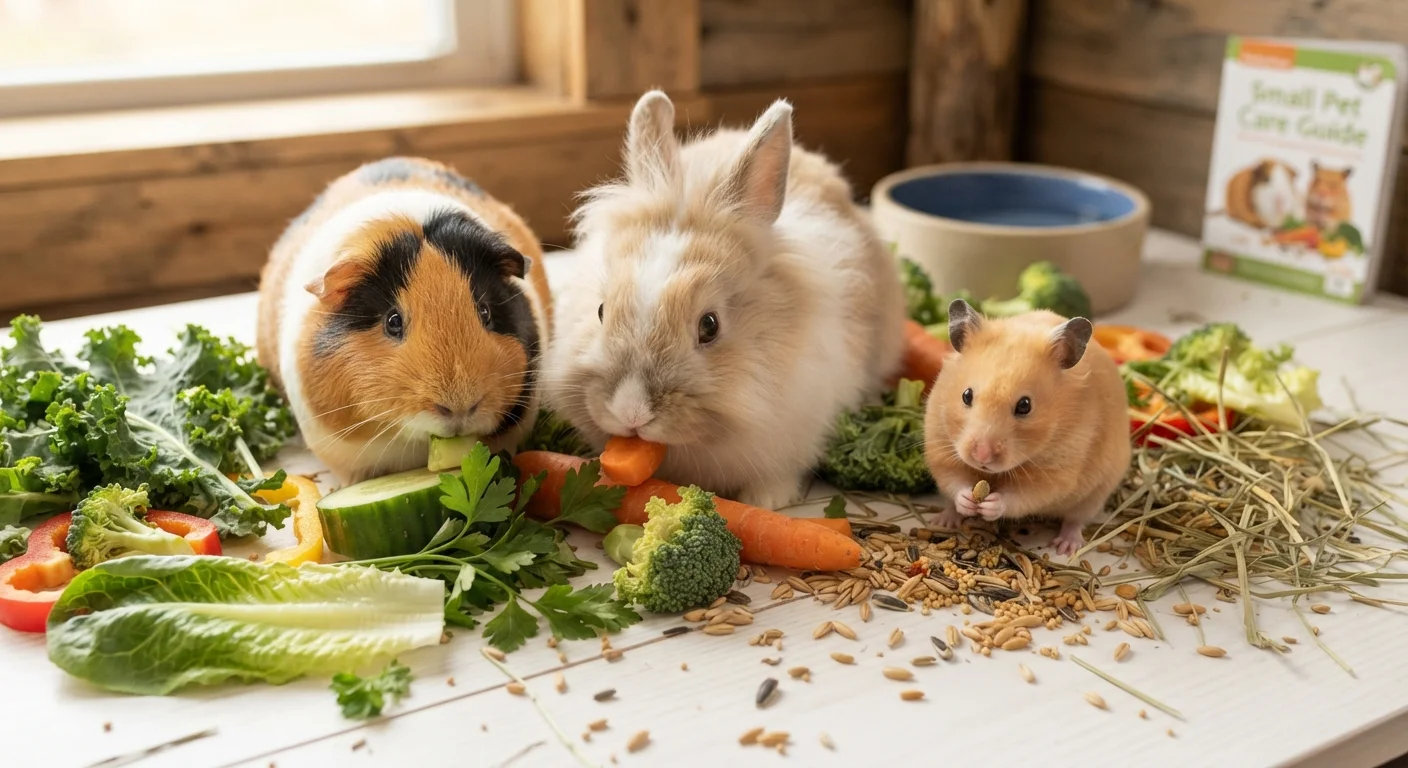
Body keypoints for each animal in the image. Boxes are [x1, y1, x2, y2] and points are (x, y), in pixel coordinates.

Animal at [923, 300, 1130, 556]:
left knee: (1076, 519)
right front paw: (967, 501)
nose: (982, 456)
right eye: (966, 395)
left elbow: (1021, 496)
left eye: (1025, 405)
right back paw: (943, 521)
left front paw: (991, 505)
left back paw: (1065, 547)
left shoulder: (1055, 473)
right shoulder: (940, 446)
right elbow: (954, 479)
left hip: (1096, 492)